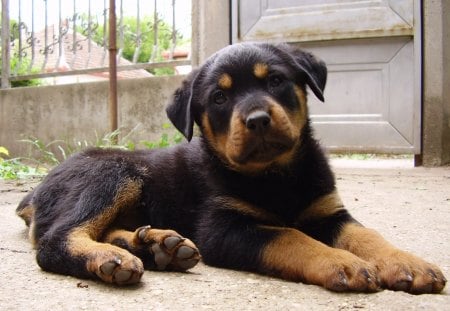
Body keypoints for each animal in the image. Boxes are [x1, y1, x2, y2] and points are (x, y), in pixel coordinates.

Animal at [17, 42, 446, 294]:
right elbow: (290, 237)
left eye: (276, 80)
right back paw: (115, 258)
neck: (276, 175)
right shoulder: (224, 227)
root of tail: (34, 191)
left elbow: (368, 235)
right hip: (113, 174)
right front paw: (342, 262)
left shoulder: (329, 211)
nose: (257, 119)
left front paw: (409, 263)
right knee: (55, 239)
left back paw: (155, 246)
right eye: (219, 98)